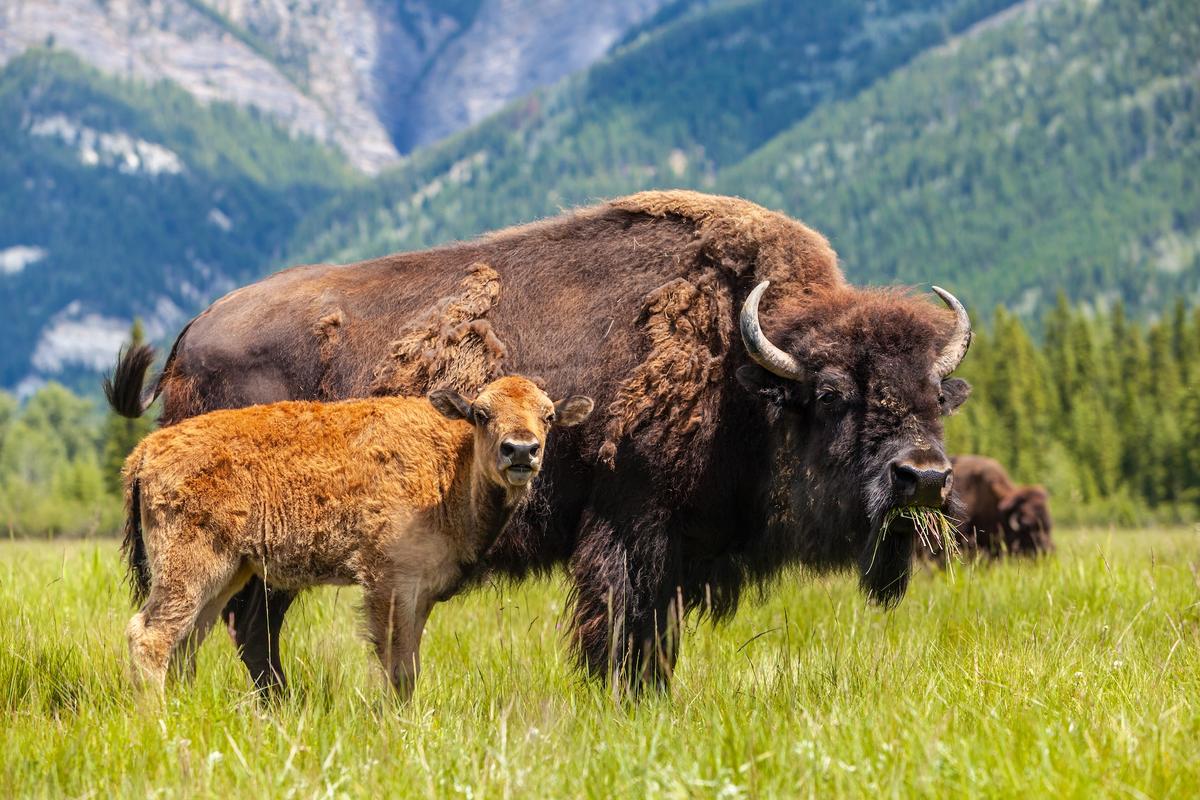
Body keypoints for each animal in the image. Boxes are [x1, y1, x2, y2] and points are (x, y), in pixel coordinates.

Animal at [106, 191, 972, 694]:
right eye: (832, 395)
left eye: (936, 396)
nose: (925, 477)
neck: (742, 367)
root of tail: (191, 335)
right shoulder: (632, 527)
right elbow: (623, 627)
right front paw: (625, 702)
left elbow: (653, 634)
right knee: (241, 626)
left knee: (235, 626)